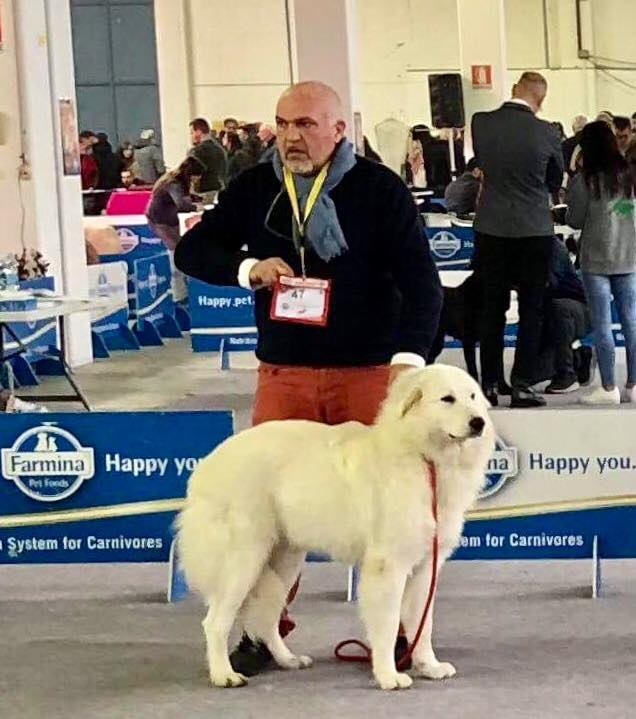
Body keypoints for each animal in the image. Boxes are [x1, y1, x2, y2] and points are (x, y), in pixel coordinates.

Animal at [177, 365, 495, 691]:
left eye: (472, 396)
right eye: (447, 399)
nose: (479, 422)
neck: (422, 455)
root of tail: (206, 466)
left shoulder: (426, 567)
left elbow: (423, 623)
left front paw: (429, 666)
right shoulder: (388, 567)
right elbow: (389, 623)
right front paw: (388, 675)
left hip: (284, 561)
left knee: (267, 619)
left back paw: (288, 660)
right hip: (243, 560)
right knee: (215, 622)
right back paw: (224, 674)